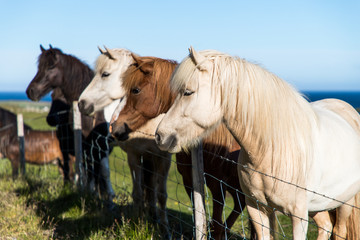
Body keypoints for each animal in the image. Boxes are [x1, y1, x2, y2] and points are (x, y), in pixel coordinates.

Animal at [25, 44, 114, 201]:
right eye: (39, 67)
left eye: (51, 66)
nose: (31, 91)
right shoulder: (86, 144)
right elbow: (87, 168)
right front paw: (91, 192)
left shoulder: (98, 144)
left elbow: (97, 170)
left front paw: (100, 195)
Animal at [77, 47, 173, 238]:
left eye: (105, 74)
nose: (82, 103)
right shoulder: (134, 156)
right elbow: (138, 193)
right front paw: (138, 224)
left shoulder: (163, 158)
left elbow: (161, 195)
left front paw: (165, 230)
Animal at [109, 54, 256, 240]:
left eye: (135, 90)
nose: (114, 127)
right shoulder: (189, 181)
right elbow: (200, 217)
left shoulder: (218, 187)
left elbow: (217, 224)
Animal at [156, 47, 360, 240]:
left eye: (188, 92)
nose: (160, 135)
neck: (272, 150)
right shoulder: (256, 207)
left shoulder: (298, 216)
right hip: (319, 206)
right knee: (325, 226)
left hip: (344, 203)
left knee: (339, 230)